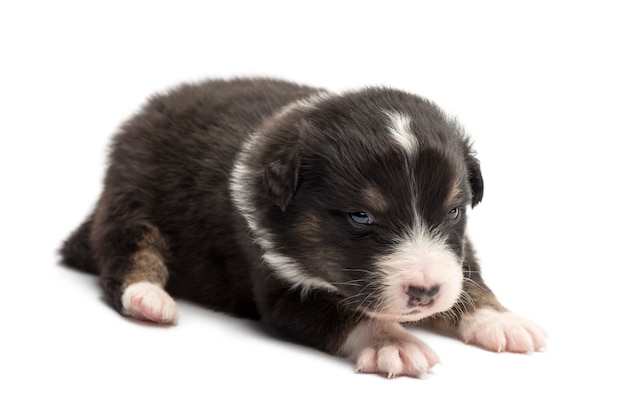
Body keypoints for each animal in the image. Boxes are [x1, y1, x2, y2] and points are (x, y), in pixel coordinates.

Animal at [59, 77, 544, 378]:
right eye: (361, 217)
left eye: (453, 212)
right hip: (133, 199)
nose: (425, 293)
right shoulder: (279, 288)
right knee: (125, 249)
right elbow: (343, 313)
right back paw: (149, 299)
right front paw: (393, 343)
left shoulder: (457, 253)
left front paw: (501, 320)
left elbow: (468, 278)